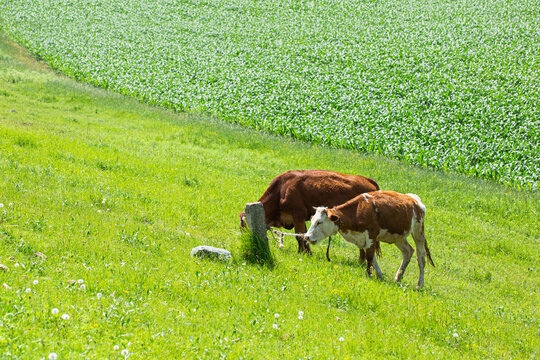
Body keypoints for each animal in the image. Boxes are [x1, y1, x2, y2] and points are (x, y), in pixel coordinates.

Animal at [240, 170, 380, 255]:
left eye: (244, 226)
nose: (246, 239)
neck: (281, 191)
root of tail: (368, 179)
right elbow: (304, 235)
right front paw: (306, 252)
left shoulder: (298, 216)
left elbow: (300, 236)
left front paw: (303, 253)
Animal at [304, 190, 434, 288]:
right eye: (312, 220)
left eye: (319, 222)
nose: (306, 236)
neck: (358, 211)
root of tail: (414, 199)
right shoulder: (364, 239)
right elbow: (372, 257)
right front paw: (379, 275)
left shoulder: (371, 235)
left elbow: (370, 257)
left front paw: (369, 275)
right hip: (398, 237)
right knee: (408, 251)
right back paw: (398, 277)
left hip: (418, 231)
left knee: (421, 257)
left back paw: (419, 285)